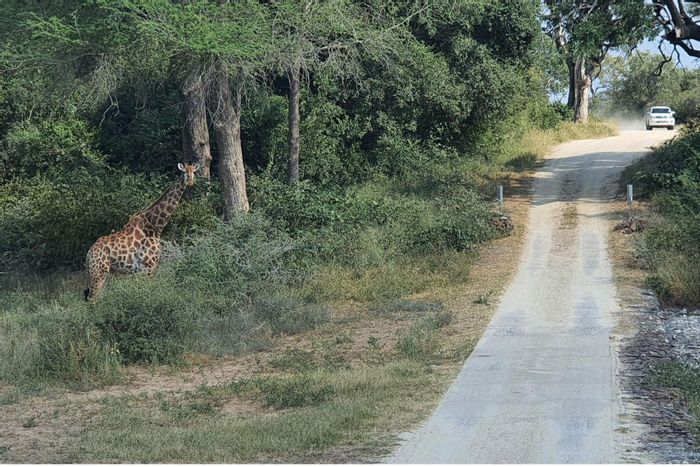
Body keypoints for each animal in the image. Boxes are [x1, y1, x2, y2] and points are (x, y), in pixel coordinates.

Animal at [84, 163, 200, 300]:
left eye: (194, 172)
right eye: (184, 172)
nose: (191, 181)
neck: (155, 227)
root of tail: (89, 253)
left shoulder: (145, 269)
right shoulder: (149, 266)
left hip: (105, 272)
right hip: (98, 272)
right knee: (92, 298)